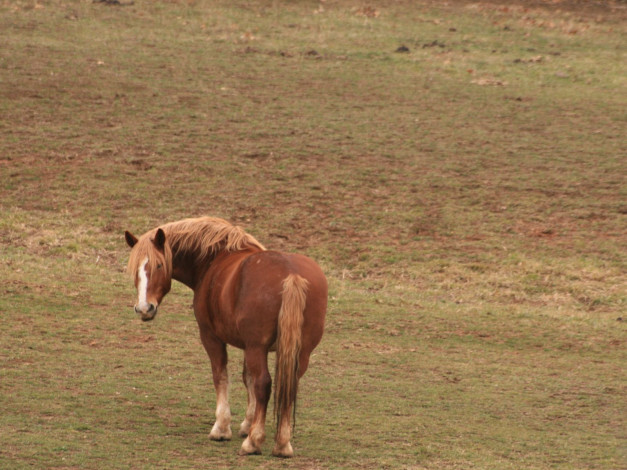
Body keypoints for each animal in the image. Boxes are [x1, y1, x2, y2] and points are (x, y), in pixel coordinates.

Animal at [124, 218, 328, 458]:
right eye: (135, 269)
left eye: (158, 265)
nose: (144, 308)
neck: (213, 259)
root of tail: (291, 274)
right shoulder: (248, 346)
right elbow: (247, 379)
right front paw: (246, 424)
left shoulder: (212, 337)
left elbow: (221, 376)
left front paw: (221, 428)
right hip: (299, 352)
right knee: (289, 386)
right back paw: (282, 444)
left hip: (258, 348)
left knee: (264, 384)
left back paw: (254, 442)